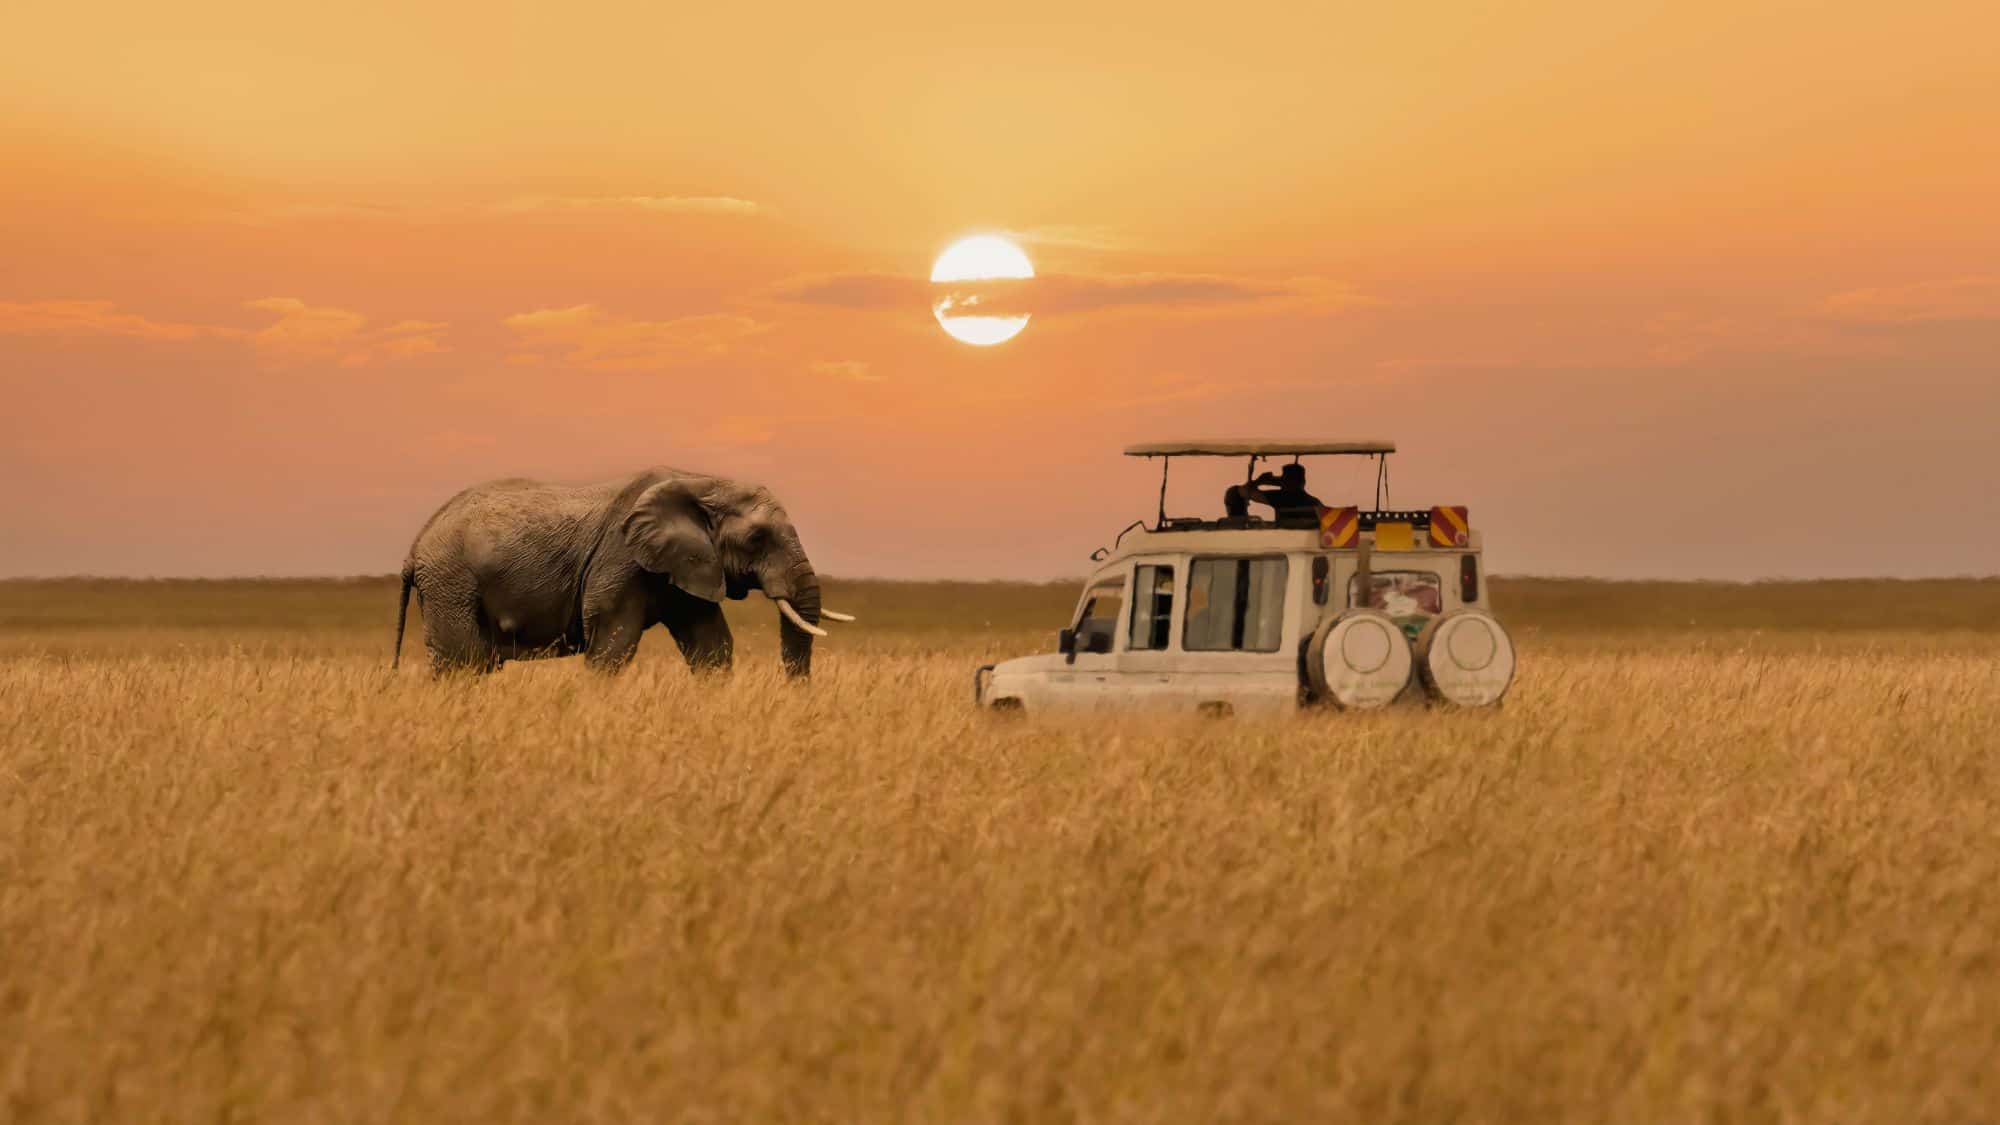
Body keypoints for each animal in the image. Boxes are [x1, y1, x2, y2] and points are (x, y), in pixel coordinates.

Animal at [391, 468, 852, 676]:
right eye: (757, 537)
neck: (701, 482)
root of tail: (415, 546)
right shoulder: (620, 562)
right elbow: (613, 644)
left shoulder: (687, 566)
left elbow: (711, 645)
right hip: (452, 583)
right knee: (462, 664)